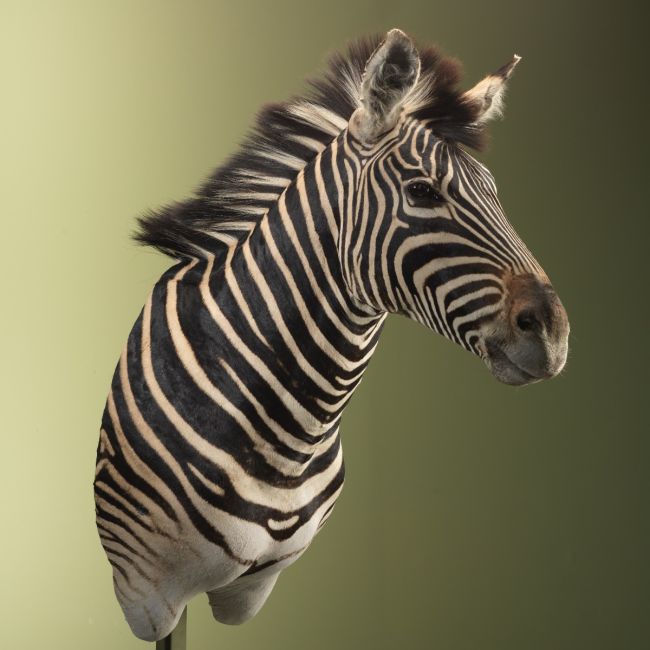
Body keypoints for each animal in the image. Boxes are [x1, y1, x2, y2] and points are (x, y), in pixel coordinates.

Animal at [94, 29, 570, 641]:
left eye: (493, 191)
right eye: (422, 191)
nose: (554, 333)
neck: (289, 437)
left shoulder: (254, 588)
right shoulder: (149, 592)